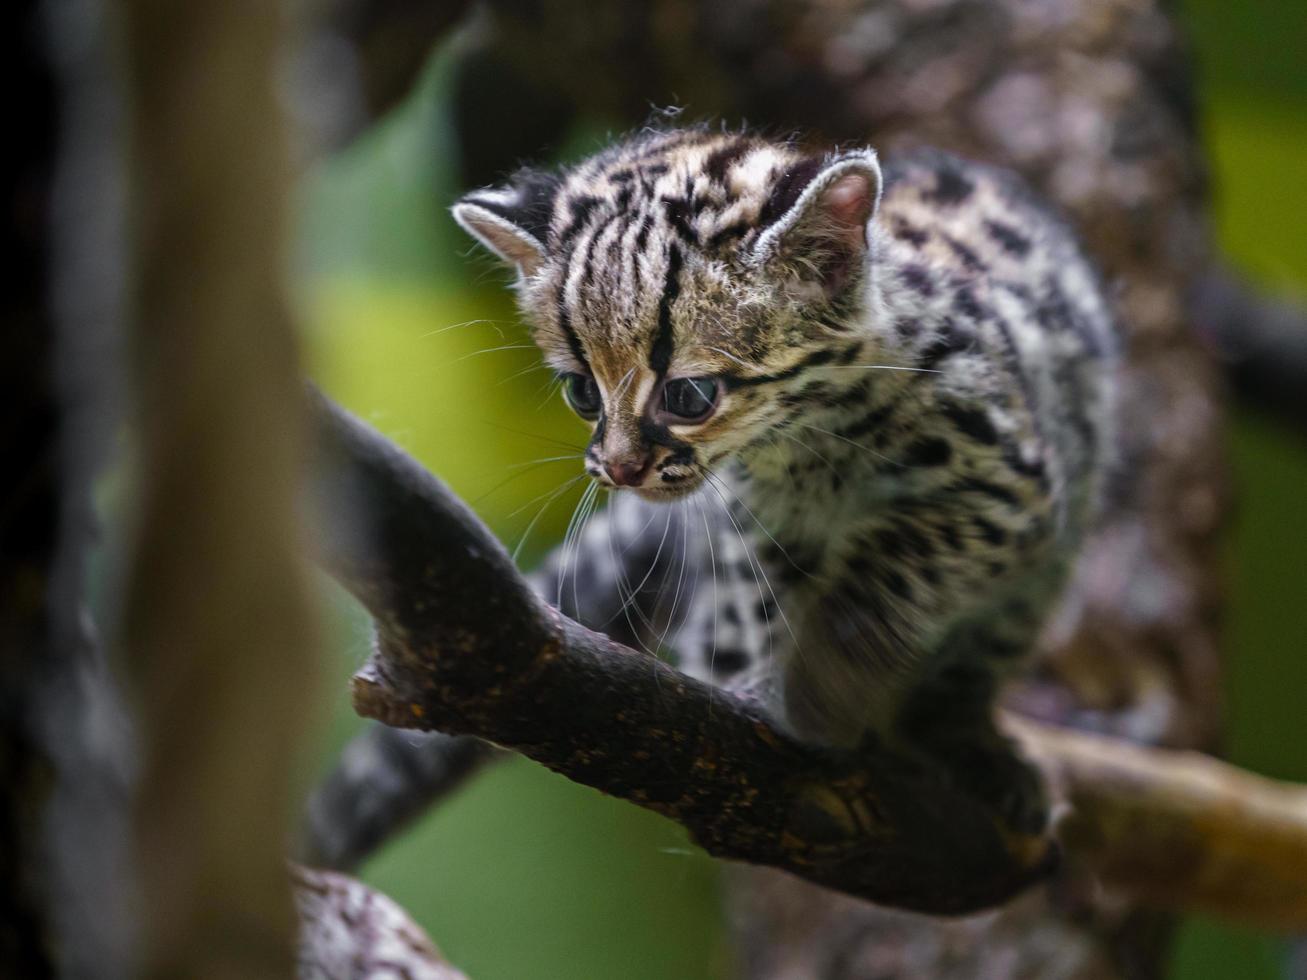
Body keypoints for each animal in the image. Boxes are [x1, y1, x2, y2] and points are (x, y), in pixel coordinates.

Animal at [454, 124, 1118, 831]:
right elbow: (759, 600)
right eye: (582, 391)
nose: (619, 469)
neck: (807, 444)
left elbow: (895, 562)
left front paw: (825, 687)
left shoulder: (1005, 487)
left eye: (688, 396)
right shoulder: (757, 522)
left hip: (1037, 585)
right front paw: (768, 685)